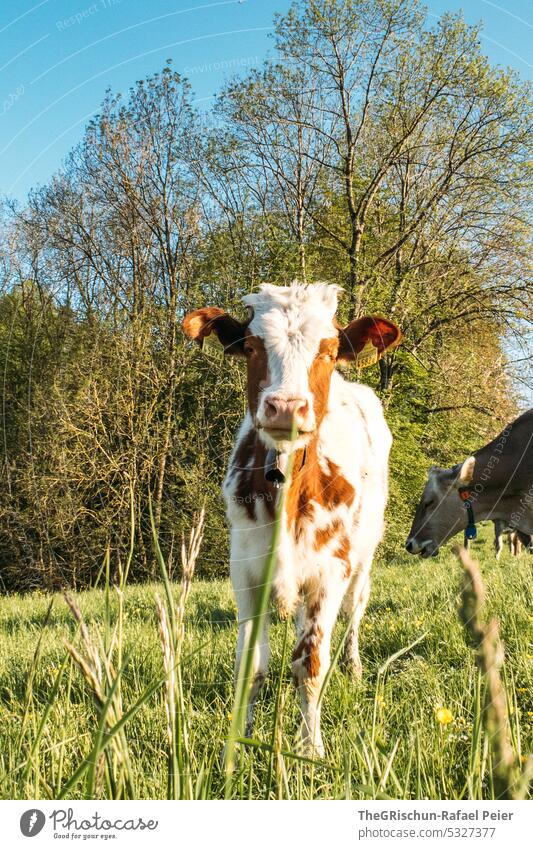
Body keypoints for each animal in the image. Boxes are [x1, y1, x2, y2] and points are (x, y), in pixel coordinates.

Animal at [183, 282, 400, 752]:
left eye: (330, 350)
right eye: (250, 347)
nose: (285, 407)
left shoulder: (331, 570)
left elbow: (311, 663)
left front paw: (310, 747)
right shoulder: (245, 569)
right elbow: (250, 665)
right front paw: (239, 742)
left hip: (364, 554)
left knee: (354, 610)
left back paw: (354, 667)